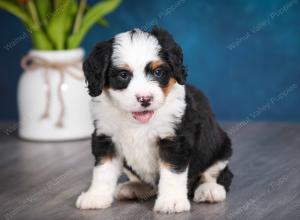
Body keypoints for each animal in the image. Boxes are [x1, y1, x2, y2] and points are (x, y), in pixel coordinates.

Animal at [76, 27, 233, 213]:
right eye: (123, 75)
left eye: (158, 72)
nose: (145, 99)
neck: (137, 121)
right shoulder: (106, 137)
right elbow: (103, 170)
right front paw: (96, 196)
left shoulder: (174, 139)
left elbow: (172, 172)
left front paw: (172, 201)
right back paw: (133, 188)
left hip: (221, 147)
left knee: (216, 174)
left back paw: (209, 190)